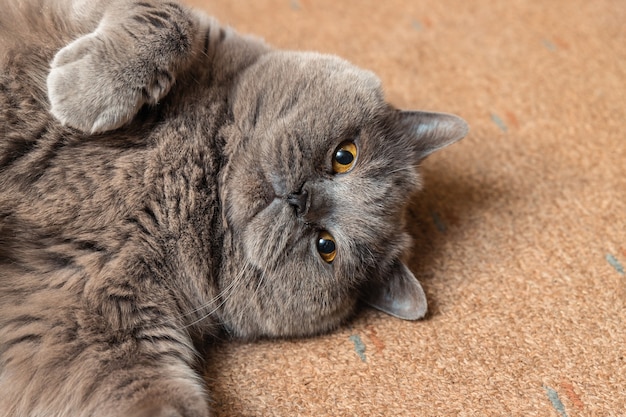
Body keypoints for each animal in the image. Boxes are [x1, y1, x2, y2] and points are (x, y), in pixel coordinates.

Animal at [0, 0, 466, 416]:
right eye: (344, 156)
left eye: (326, 246)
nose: (301, 199)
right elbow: (172, 20)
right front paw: (82, 93)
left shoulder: (100, 329)